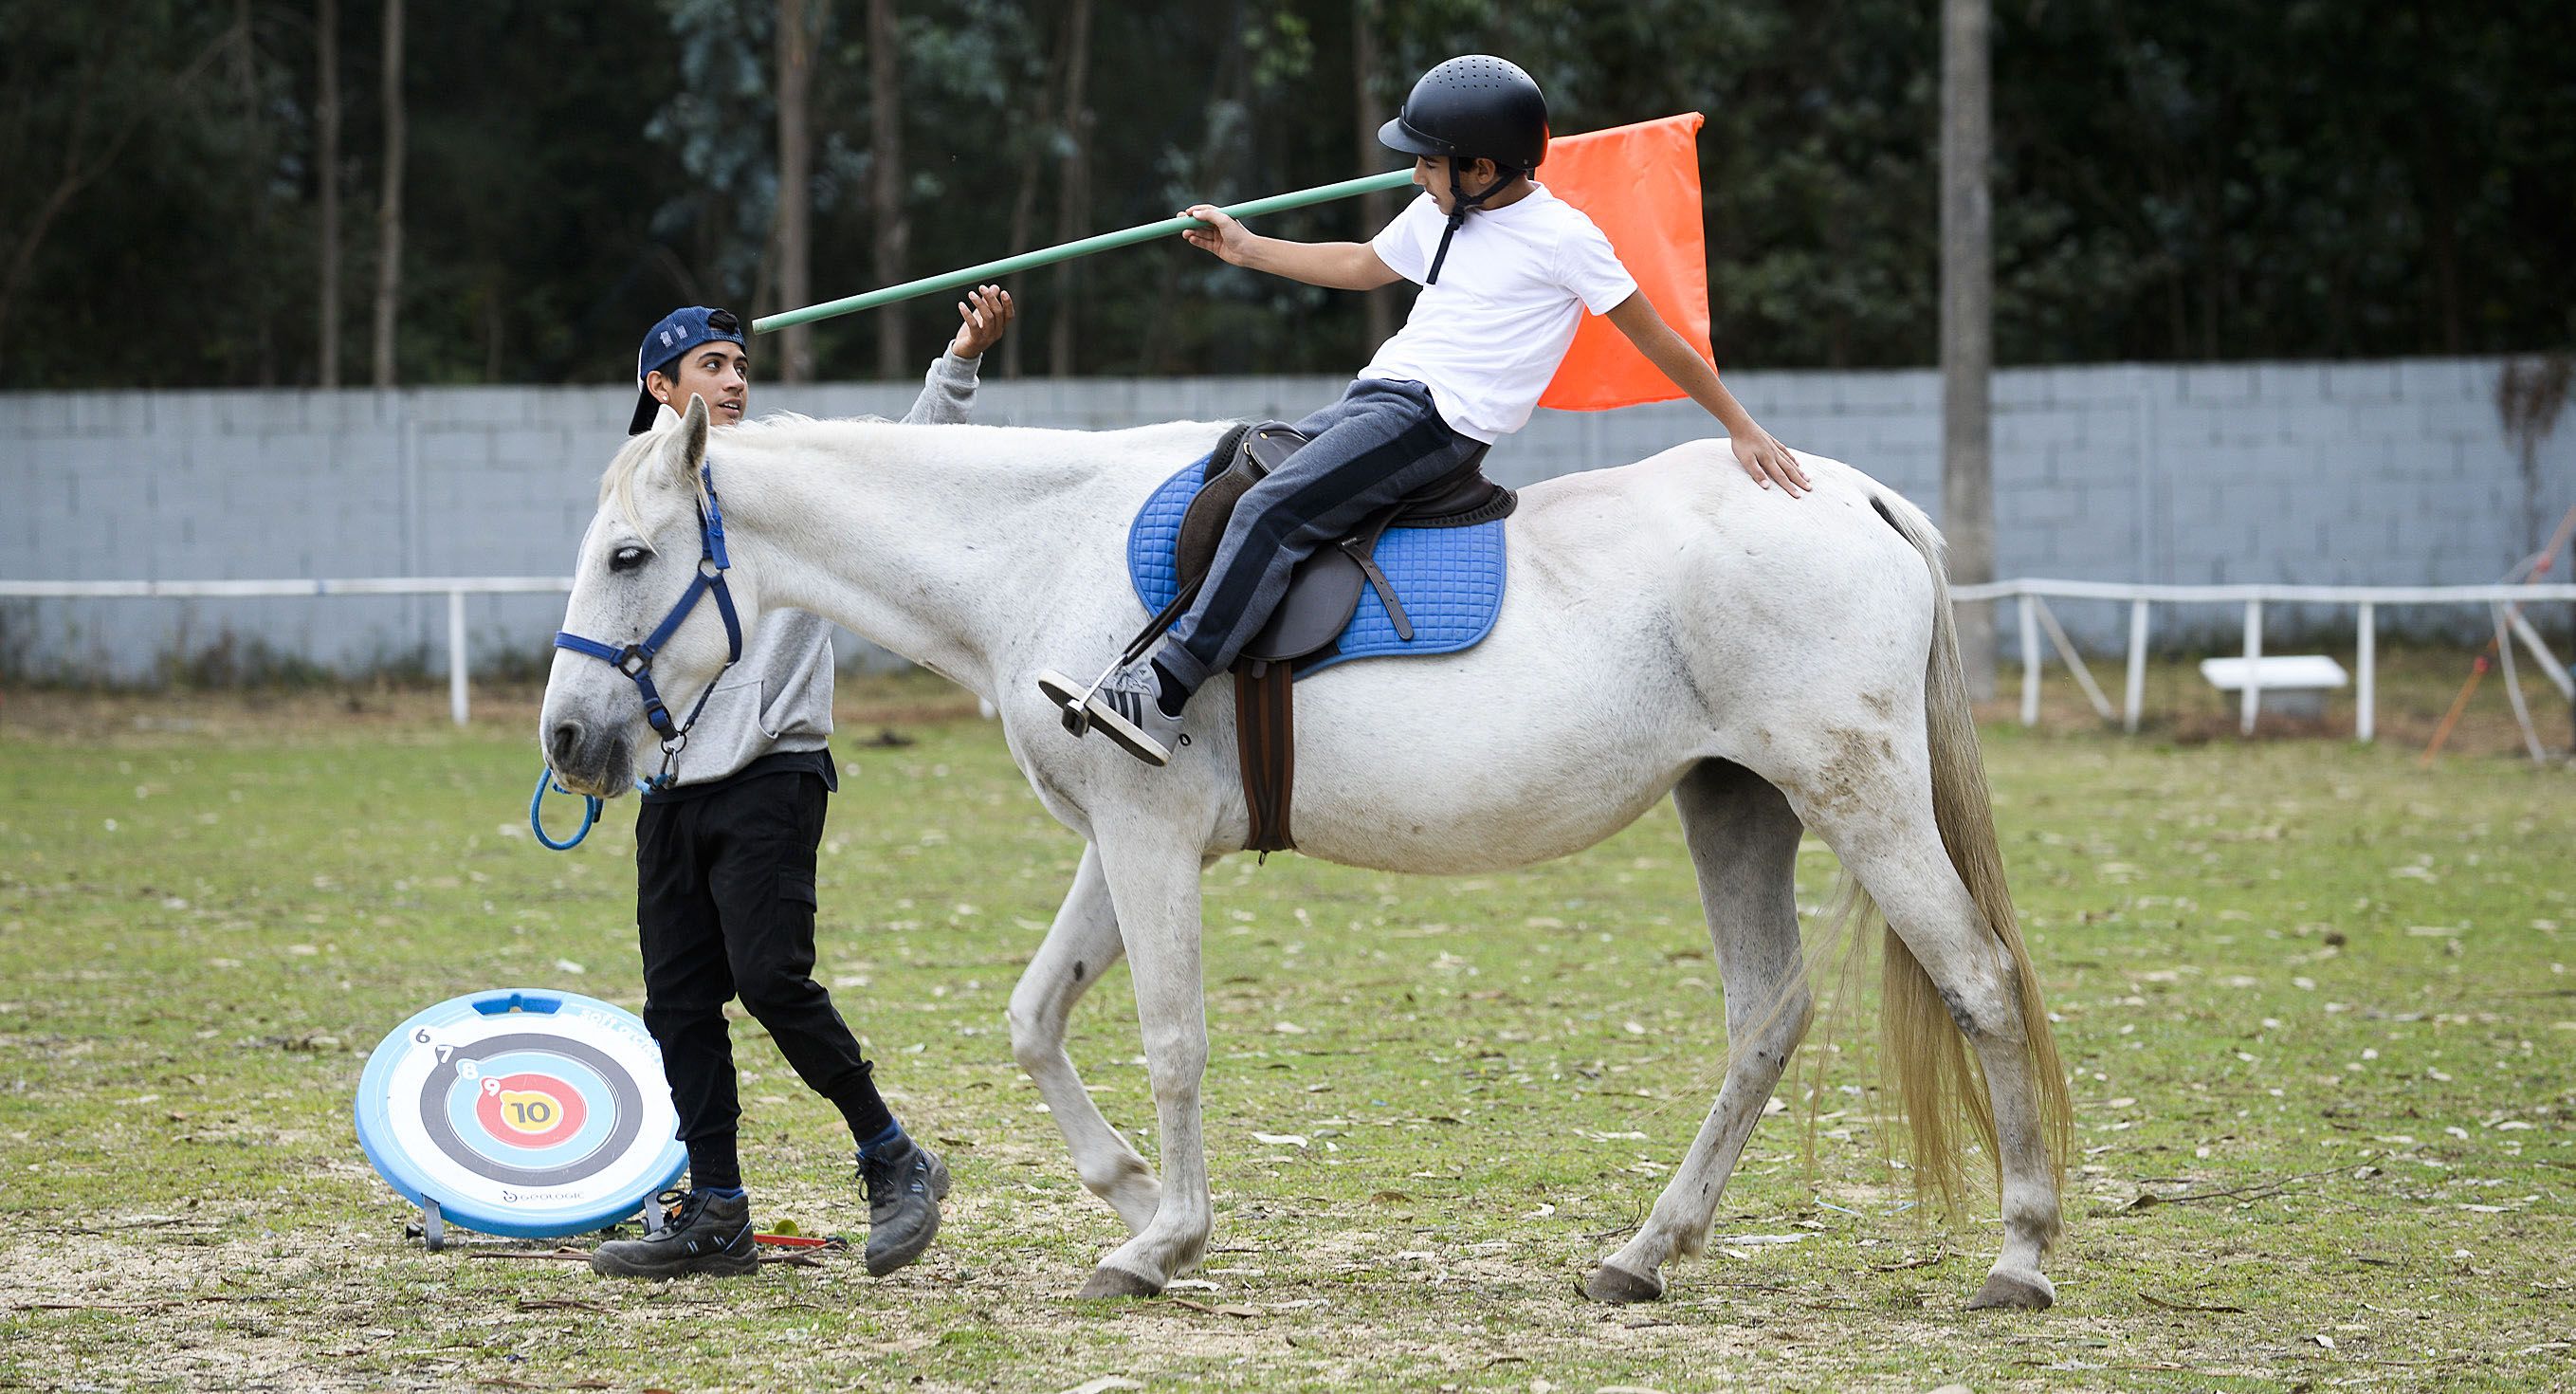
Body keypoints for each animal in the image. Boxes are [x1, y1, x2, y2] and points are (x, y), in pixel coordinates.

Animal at [538, 399, 2071, 1303]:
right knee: (1765, 1019)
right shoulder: (1119, 843)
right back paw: (1642, 1253)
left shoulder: (1148, 839)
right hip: (1734, 805)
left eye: (628, 556)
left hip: (1858, 799)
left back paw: (2020, 1251)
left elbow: (1170, 1038)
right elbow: (1035, 1017)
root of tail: (1848, 496)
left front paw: (1161, 1240)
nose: (567, 737)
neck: (1041, 542)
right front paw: (1132, 1196)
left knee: (1980, 981)